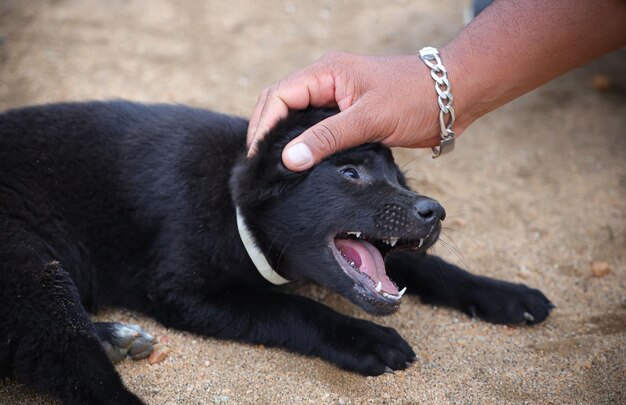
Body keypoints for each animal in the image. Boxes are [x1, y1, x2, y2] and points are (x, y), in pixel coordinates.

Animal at [0, 101, 552, 400]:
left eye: (401, 179)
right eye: (349, 172)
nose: (434, 212)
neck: (234, 207)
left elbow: (429, 265)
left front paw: (507, 296)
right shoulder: (184, 292)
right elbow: (292, 308)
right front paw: (366, 339)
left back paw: (115, 336)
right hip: (30, 268)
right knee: (74, 365)